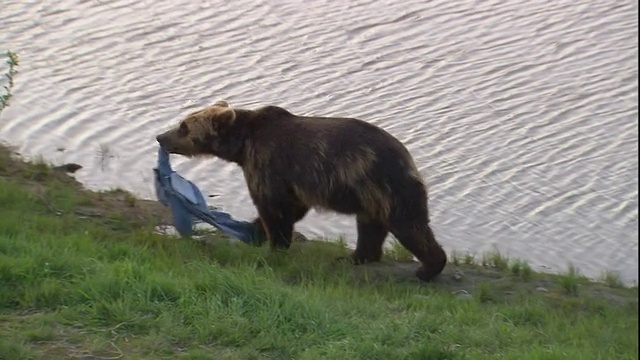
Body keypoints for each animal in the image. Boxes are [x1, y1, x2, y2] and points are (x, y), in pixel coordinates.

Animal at [156, 99, 448, 282]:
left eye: (184, 127)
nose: (160, 136)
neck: (242, 144)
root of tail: (408, 158)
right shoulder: (291, 180)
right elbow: (291, 207)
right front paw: (256, 230)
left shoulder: (268, 161)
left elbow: (274, 207)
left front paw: (273, 246)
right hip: (370, 195)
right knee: (370, 226)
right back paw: (354, 257)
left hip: (382, 184)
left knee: (408, 224)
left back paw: (428, 268)